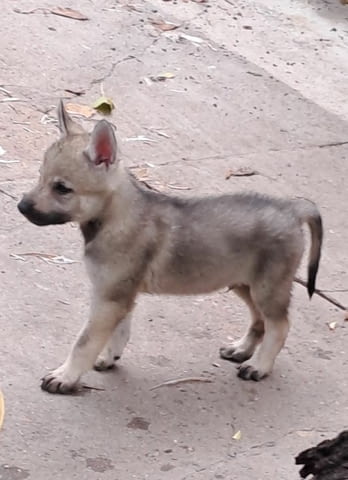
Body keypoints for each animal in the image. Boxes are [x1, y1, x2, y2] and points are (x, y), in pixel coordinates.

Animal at [17, 101, 322, 394]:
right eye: (40, 176)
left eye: (62, 188)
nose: (21, 206)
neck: (115, 216)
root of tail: (293, 209)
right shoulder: (117, 296)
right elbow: (119, 332)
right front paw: (108, 357)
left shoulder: (110, 298)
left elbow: (84, 342)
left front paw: (65, 376)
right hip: (244, 284)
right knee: (260, 322)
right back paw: (242, 350)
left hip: (266, 288)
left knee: (279, 326)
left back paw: (259, 366)